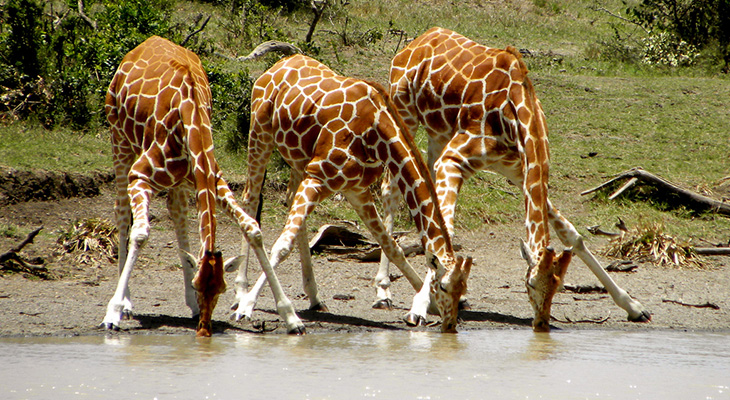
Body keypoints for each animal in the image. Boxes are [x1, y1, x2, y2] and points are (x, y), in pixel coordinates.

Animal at [101, 36, 302, 336]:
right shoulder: (141, 175)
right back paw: (126, 303)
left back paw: (188, 306)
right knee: (122, 211)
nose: (205, 330)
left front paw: (291, 317)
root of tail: (142, 44)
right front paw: (113, 311)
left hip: (178, 180)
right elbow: (140, 233)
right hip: (119, 139)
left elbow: (253, 229)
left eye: (221, 289)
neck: (190, 116)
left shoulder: (212, 178)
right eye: (199, 285)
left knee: (177, 213)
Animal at [225, 54, 470, 332]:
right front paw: (251, 307)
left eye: (462, 290)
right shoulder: (318, 177)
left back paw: (314, 297)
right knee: (251, 200)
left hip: (298, 161)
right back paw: (240, 294)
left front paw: (424, 305)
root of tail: (276, 65)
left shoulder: (355, 189)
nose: (450, 325)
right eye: (444, 286)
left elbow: (392, 246)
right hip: (259, 134)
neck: (376, 133)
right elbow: (282, 247)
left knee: (289, 204)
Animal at [382, 25, 648, 332]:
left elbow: (573, 235)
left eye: (559, 286)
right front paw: (418, 308)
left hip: (438, 134)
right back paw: (383, 291)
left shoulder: (519, 173)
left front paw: (633, 306)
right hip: (404, 113)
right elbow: (443, 231)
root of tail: (417, 40)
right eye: (530, 284)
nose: (541, 324)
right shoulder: (454, 160)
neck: (515, 114)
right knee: (390, 190)